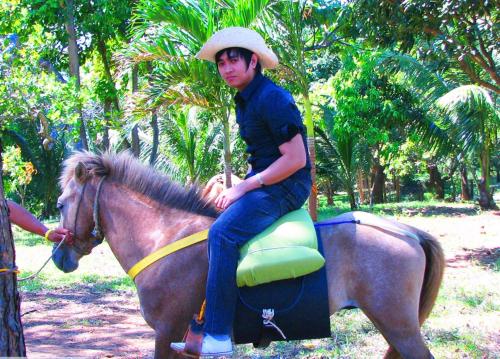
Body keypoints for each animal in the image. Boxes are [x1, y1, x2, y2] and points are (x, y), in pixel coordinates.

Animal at [53, 150, 446, 358]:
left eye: (60, 204)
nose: (60, 256)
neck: (164, 235)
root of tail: (409, 232)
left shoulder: (167, 332)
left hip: (398, 325)